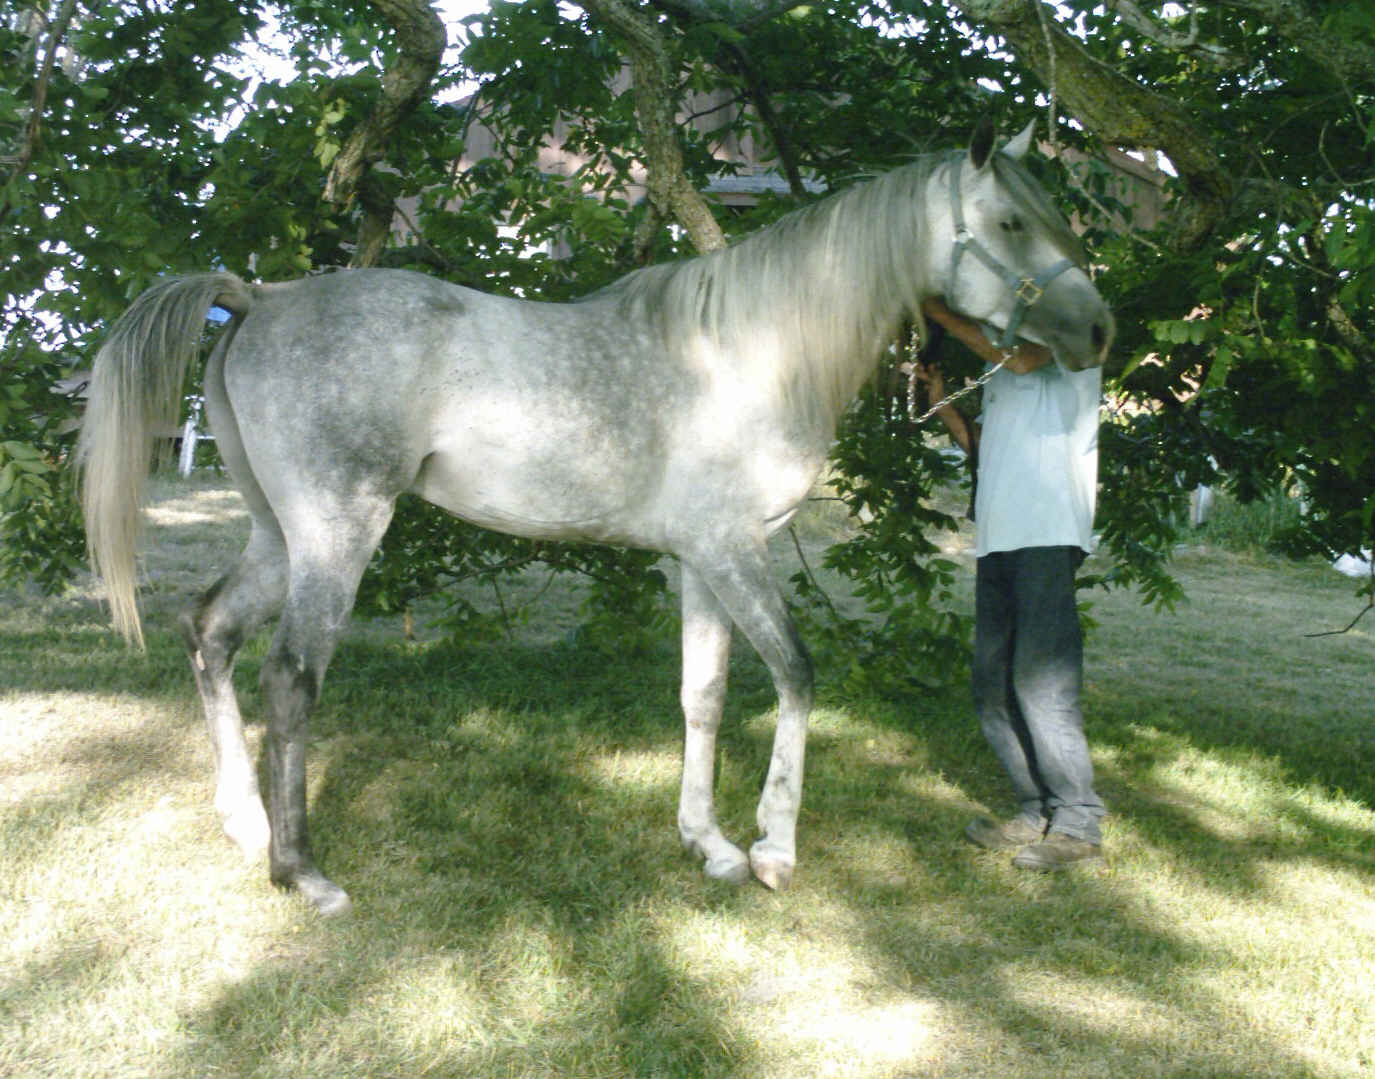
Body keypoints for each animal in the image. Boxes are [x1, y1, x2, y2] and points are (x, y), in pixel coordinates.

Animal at [78, 120, 1116, 907]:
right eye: (1010, 220)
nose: (1099, 330)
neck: (751, 352)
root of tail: (260, 296)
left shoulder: (698, 560)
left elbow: (703, 695)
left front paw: (708, 843)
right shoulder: (735, 552)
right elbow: (796, 676)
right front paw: (773, 848)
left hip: (276, 535)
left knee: (210, 634)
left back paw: (244, 822)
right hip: (336, 535)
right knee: (291, 676)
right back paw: (303, 871)